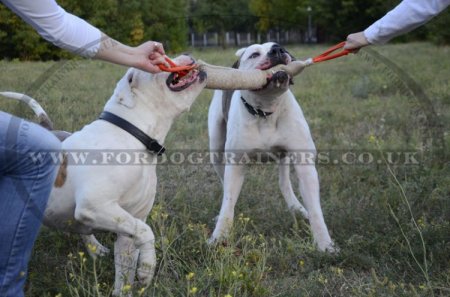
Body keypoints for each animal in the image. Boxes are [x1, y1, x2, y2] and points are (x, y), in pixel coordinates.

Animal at [1, 55, 206, 294]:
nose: (189, 55)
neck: (133, 134)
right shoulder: (95, 205)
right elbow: (147, 232)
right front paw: (147, 267)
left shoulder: (129, 222)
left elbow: (126, 271)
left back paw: (94, 248)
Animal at [207, 41, 334, 250]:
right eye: (254, 54)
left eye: (282, 47)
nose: (277, 50)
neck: (266, 109)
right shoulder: (235, 164)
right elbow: (228, 200)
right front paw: (219, 236)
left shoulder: (304, 164)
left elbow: (316, 209)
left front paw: (325, 244)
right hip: (216, 149)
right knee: (224, 183)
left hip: (284, 156)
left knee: (284, 182)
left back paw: (297, 208)